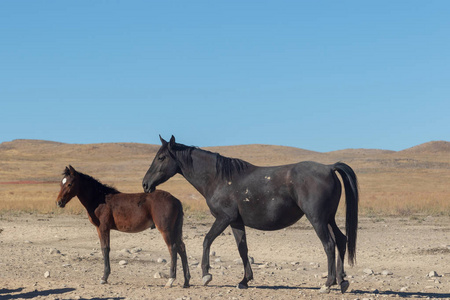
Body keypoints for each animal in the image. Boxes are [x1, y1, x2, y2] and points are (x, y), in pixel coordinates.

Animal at [56, 165, 190, 288]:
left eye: (69, 184)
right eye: (61, 183)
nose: (59, 202)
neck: (99, 199)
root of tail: (176, 200)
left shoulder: (103, 227)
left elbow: (105, 249)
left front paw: (104, 278)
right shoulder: (99, 228)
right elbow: (104, 249)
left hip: (166, 230)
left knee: (173, 248)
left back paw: (171, 280)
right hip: (175, 230)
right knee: (181, 248)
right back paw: (186, 281)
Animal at [144, 137, 358, 292]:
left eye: (161, 157)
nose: (145, 184)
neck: (219, 178)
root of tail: (329, 168)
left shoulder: (224, 218)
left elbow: (207, 240)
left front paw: (206, 274)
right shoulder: (236, 222)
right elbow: (242, 249)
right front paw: (245, 280)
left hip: (317, 220)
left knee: (329, 245)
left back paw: (328, 284)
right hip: (328, 219)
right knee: (341, 240)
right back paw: (342, 281)